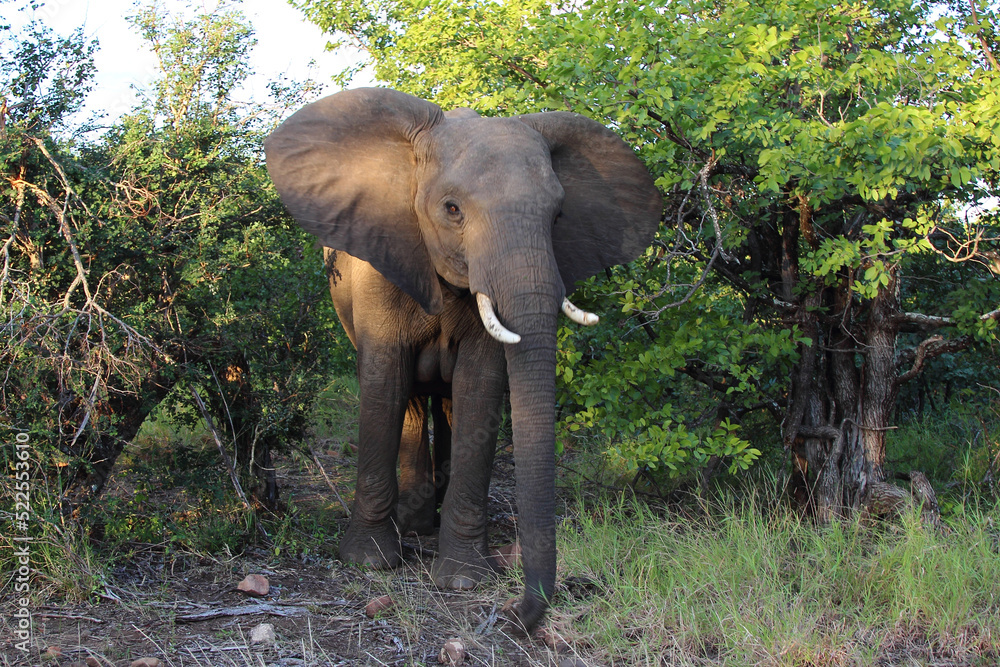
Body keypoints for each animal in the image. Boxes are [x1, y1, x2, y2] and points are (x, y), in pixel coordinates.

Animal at [264, 86, 664, 628]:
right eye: (452, 209)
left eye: (558, 217)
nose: (516, 614)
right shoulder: (380, 263)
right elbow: (384, 382)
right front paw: (369, 562)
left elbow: (480, 385)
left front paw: (462, 579)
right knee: (411, 398)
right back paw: (414, 525)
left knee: (448, 402)